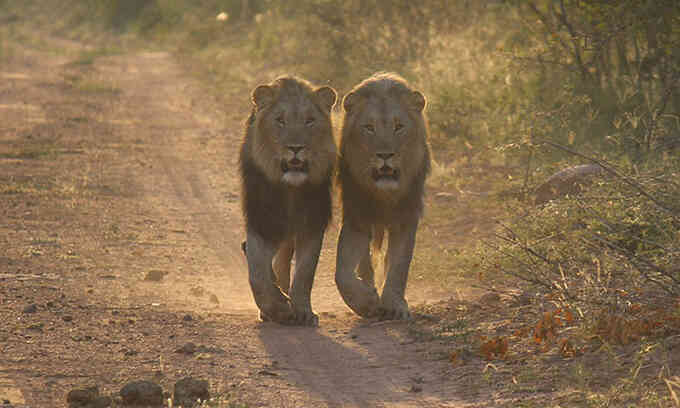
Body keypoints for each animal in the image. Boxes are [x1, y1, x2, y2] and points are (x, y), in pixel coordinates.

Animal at [239, 76, 338, 326]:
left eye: (310, 121)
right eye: (280, 121)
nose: (295, 148)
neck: (291, 189)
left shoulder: (312, 222)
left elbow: (305, 273)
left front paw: (302, 311)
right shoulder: (262, 221)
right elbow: (257, 272)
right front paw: (277, 308)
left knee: (282, 260)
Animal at [334, 73, 430, 320]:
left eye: (399, 127)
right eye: (369, 127)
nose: (385, 155)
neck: (383, 193)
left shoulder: (406, 217)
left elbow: (398, 266)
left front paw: (394, 304)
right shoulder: (357, 218)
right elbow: (342, 272)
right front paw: (366, 303)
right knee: (365, 262)